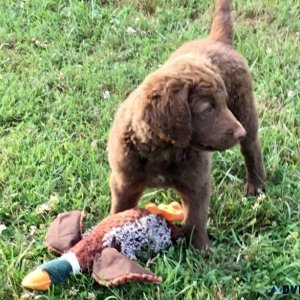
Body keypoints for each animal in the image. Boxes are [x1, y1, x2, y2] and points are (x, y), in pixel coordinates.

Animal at [107, 0, 264, 248]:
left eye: (223, 103)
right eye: (207, 109)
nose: (239, 131)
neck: (162, 151)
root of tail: (216, 40)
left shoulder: (197, 183)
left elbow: (195, 218)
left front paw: (200, 249)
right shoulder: (124, 182)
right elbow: (120, 209)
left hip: (244, 106)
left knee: (251, 147)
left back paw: (256, 184)